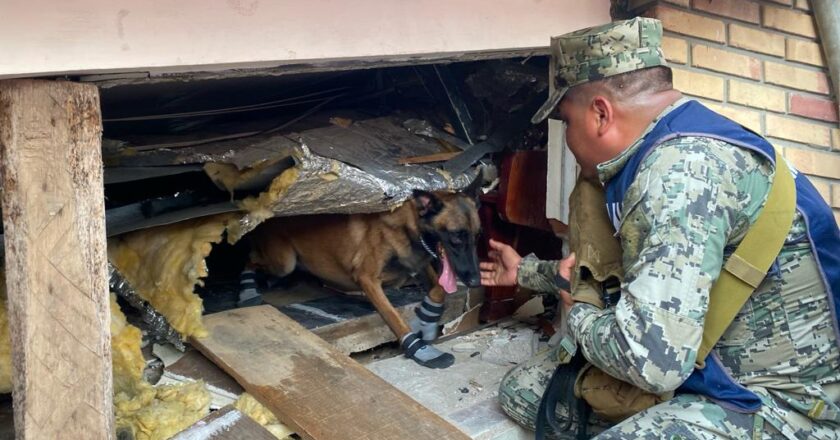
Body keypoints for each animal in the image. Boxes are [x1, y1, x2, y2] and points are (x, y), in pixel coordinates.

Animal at [246, 178, 482, 368]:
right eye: (456, 236)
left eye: (477, 235)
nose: (476, 281)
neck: (408, 228)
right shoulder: (368, 279)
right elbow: (394, 317)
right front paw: (419, 349)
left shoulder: (419, 265)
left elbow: (439, 288)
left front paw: (427, 317)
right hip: (284, 261)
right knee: (252, 259)